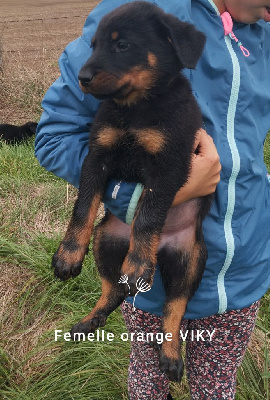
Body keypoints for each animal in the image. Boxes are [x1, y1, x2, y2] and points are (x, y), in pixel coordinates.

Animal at [51, 0, 210, 382]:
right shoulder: (96, 158)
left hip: (191, 260)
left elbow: (148, 215)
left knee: (175, 305)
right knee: (114, 290)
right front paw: (68, 255)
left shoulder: (169, 168)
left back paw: (170, 354)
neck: (134, 109)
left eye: (122, 45)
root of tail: (165, 250)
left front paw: (139, 263)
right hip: (106, 241)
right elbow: (83, 207)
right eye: (93, 45)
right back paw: (90, 320)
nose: (82, 78)